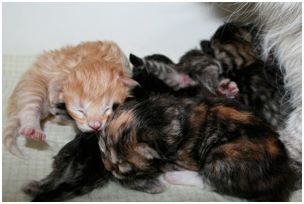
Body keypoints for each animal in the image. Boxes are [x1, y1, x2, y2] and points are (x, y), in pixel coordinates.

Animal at [3, 40, 137, 157]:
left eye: (107, 109)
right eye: (80, 111)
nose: (95, 126)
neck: (94, 58)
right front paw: (55, 94)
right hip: (33, 86)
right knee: (28, 110)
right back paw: (33, 129)